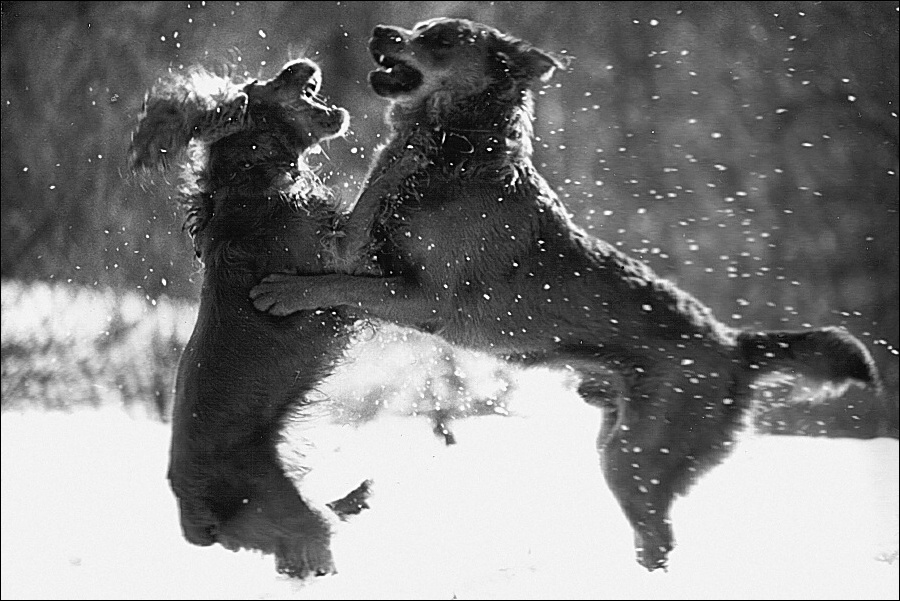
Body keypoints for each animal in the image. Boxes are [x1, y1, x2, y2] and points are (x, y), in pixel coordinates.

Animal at [128, 57, 421, 578]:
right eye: (272, 83)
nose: (301, 64)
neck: (251, 177)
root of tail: (193, 516)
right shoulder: (338, 258)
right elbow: (371, 191)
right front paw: (403, 153)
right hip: (290, 517)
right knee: (320, 542)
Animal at [249, 19, 881, 571]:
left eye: (444, 38)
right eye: (417, 27)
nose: (383, 32)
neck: (457, 154)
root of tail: (735, 345)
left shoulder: (428, 298)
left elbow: (339, 283)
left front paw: (286, 290)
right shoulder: (374, 258)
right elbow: (352, 248)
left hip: (637, 457)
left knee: (661, 539)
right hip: (617, 441)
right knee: (653, 537)